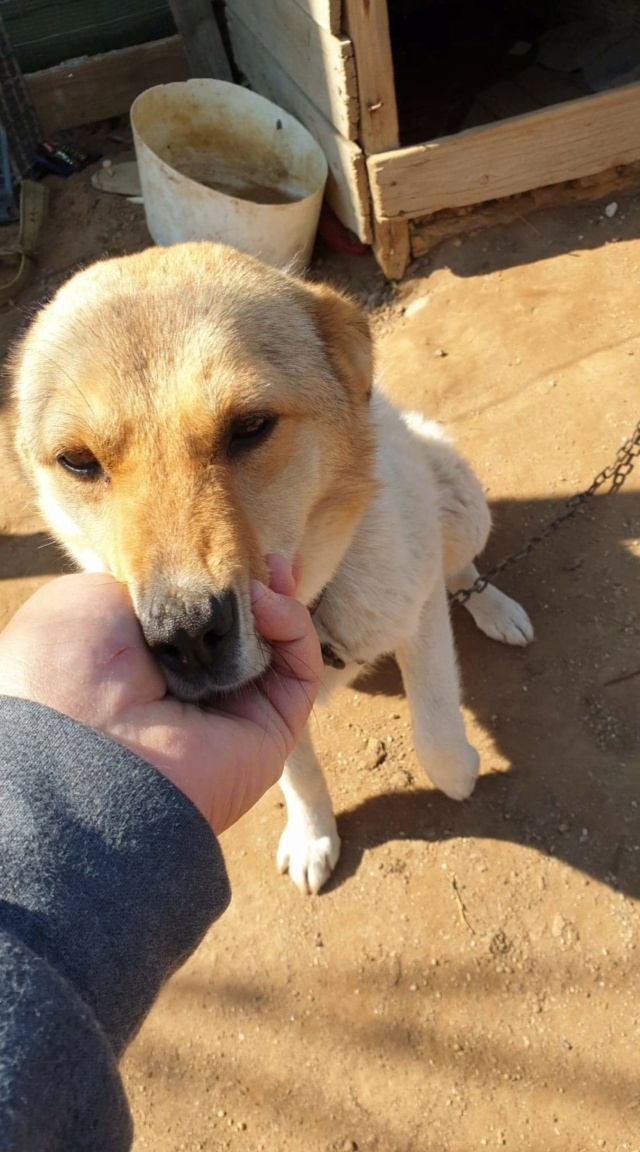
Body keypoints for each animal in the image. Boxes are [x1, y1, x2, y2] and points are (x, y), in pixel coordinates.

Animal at [11, 240, 529, 889]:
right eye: (77, 461)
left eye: (251, 426)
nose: (188, 639)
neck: (315, 606)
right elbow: (297, 772)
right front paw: (312, 837)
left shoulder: (420, 610)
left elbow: (435, 725)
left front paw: (458, 770)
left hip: (458, 503)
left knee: (459, 566)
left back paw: (496, 607)